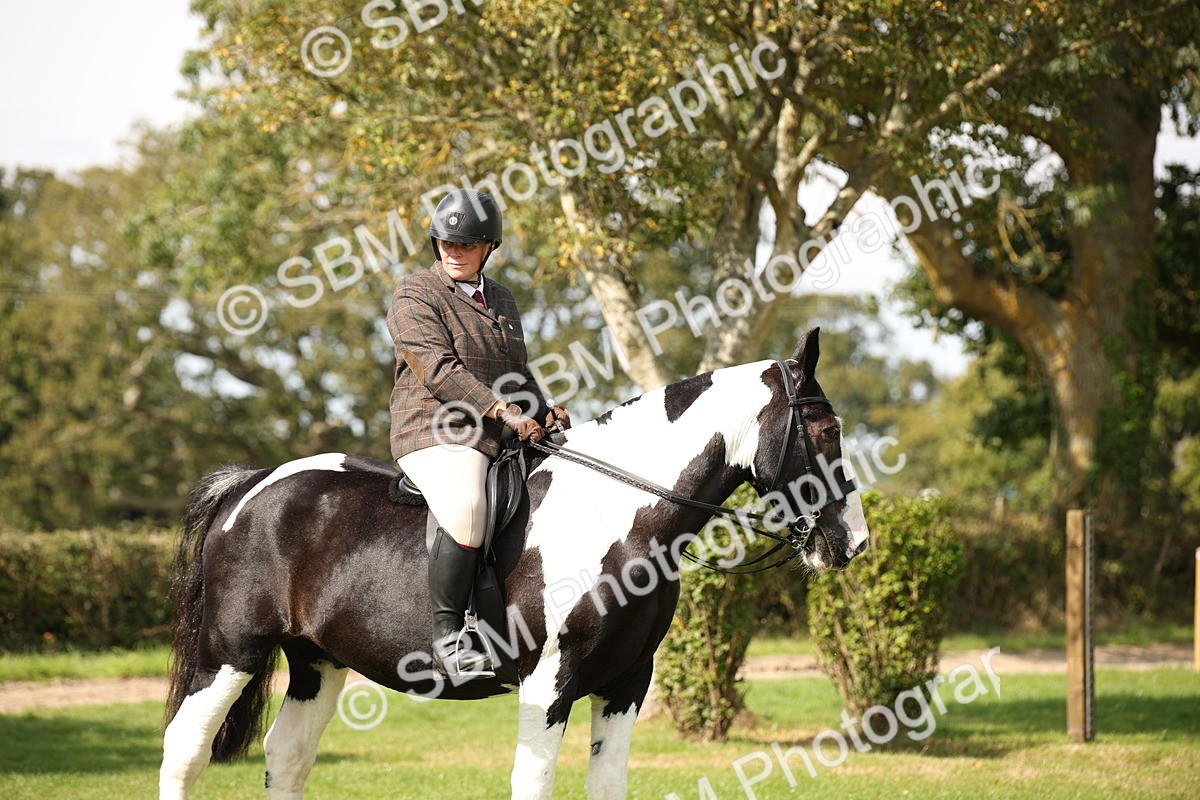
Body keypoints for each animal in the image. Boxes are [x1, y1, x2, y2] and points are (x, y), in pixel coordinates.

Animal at [159, 327, 870, 800]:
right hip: (232, 652)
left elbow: (606, 786)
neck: (618, 513)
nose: (853, 542)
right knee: (184, 750)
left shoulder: (625, 684)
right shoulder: (548, 684)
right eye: (827, 429)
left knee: (288, 756)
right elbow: (534, 784)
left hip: (317, 662)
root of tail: (253, 484)